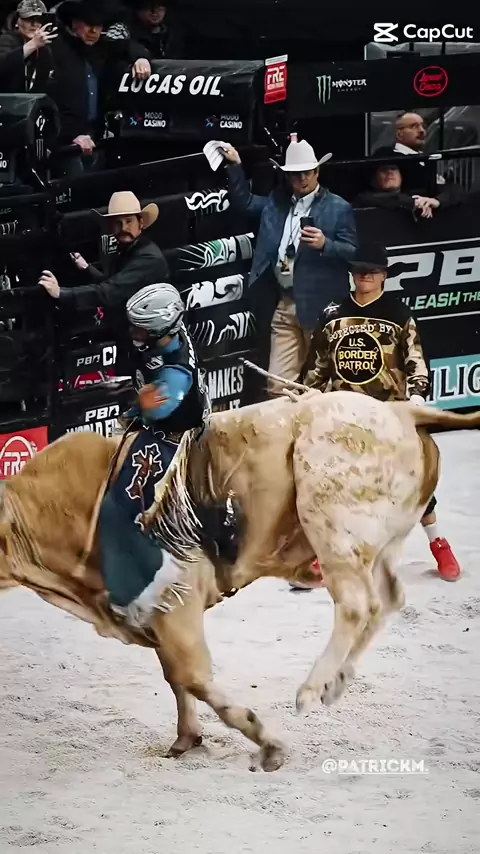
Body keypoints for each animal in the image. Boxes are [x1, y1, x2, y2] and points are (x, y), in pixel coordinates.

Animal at [0, 390, 478, 771]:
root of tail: (400, 409)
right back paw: (336, 681)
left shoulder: (175, 602)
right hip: (378, 543)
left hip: (332, 522)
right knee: (387, 599)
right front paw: (186, 739)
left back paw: (311, 690)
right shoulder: (154, 618)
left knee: (358, 605)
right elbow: (176, 678)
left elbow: (192, 676)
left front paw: (267, 744)